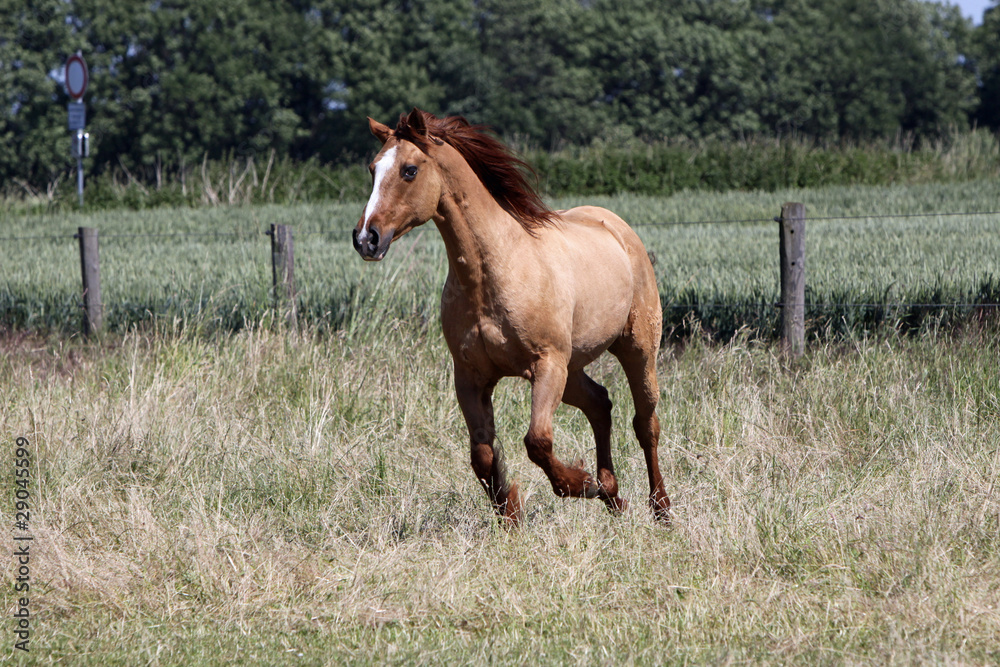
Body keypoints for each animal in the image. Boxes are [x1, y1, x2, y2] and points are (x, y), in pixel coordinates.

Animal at [352, 108, 670, 526]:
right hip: (572, 368)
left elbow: (537, 442)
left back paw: (659, 507)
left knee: (645, 424)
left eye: (409, 170)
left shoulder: (546, 364)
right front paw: (511, 515)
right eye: (372, 169)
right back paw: (612, 494)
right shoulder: (471, 377)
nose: (366, 239)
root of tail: (618, 227)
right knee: (600, 403)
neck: (494, 271)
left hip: (635, 350)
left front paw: (579, 484)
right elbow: (482, 456)